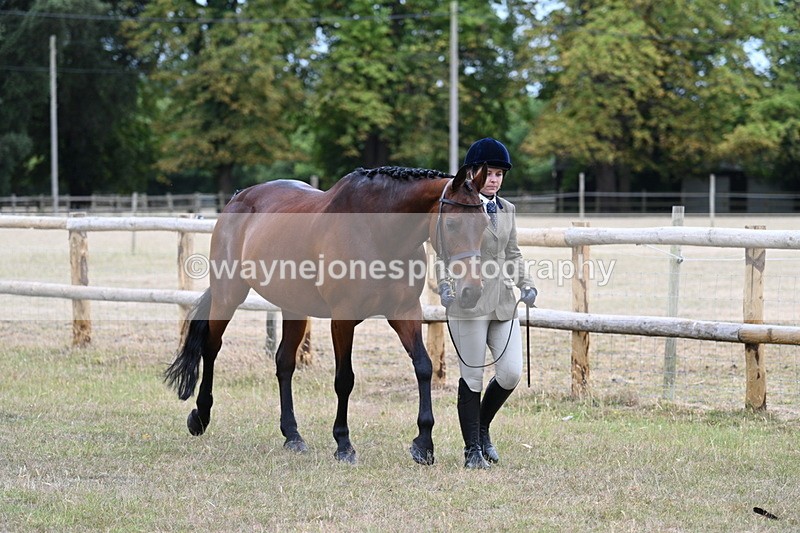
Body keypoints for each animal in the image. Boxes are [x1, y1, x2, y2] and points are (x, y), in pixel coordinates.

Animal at [164, 164, 489, 465]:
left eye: (485, 223)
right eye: (453, 224)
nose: (472, 291)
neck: (378, 233)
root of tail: (237, 199)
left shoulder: (405, 312)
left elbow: (423, 366)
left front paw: (423, 443)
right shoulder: (343, 318)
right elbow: (344, 379)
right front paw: (344, 445)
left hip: (293, 307)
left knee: (284, 363)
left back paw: (293, 435)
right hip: (228, 295)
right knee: (211, 347)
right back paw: (200, 416)